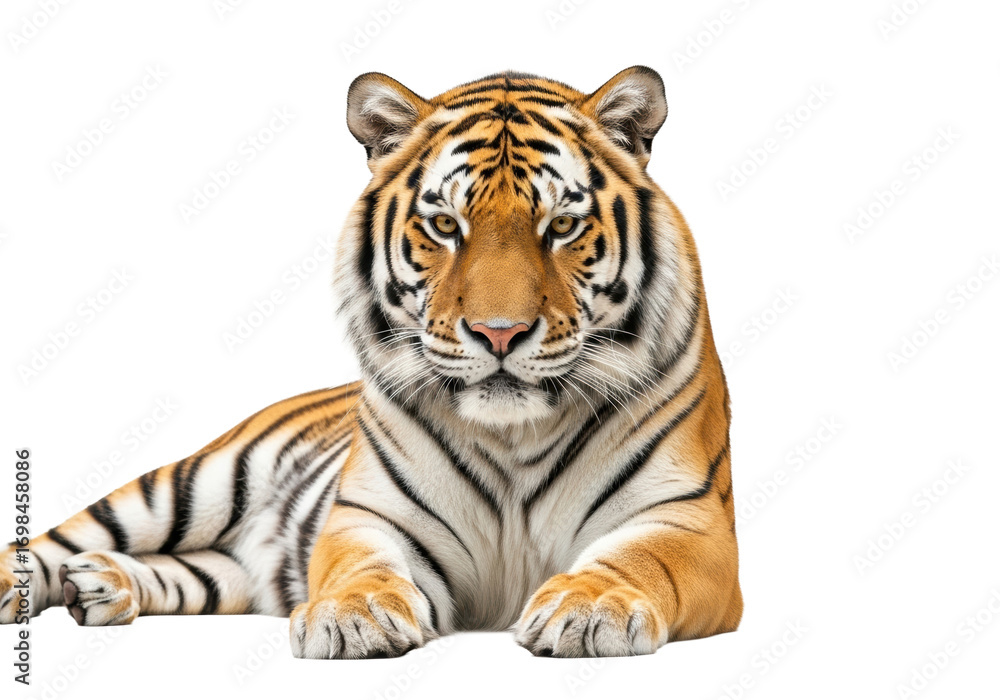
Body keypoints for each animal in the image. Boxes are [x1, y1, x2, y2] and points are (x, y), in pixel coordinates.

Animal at [1, 66, 742, 658]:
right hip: (187, 484)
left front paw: (590, 608)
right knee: (56, 538)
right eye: (445, 226)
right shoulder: (369, 516)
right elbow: (360, 566)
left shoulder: (690, 522)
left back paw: (101, 585)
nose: (498, 334)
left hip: (228, 567)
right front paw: (351, 618)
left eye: (561, 227)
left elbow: (638, 560)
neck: (514, 436)